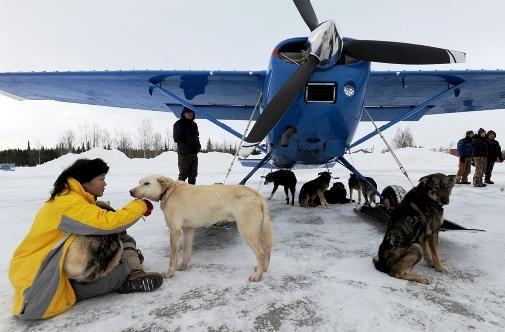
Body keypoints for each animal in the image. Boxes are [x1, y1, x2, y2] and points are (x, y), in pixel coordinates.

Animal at [130, 175, 272, 282]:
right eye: (139, 182)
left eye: (147, 183)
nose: (131, 191)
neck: (169, 192)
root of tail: (256, 194)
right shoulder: (188, 230)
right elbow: (186, 253)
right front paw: (183, 267)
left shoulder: (175, 232)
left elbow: (172, 257)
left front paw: (170, 273)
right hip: (257, 230)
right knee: (266, 250)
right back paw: (263, 269)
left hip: (247, 231)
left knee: (261, 253)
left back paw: (258, 276)